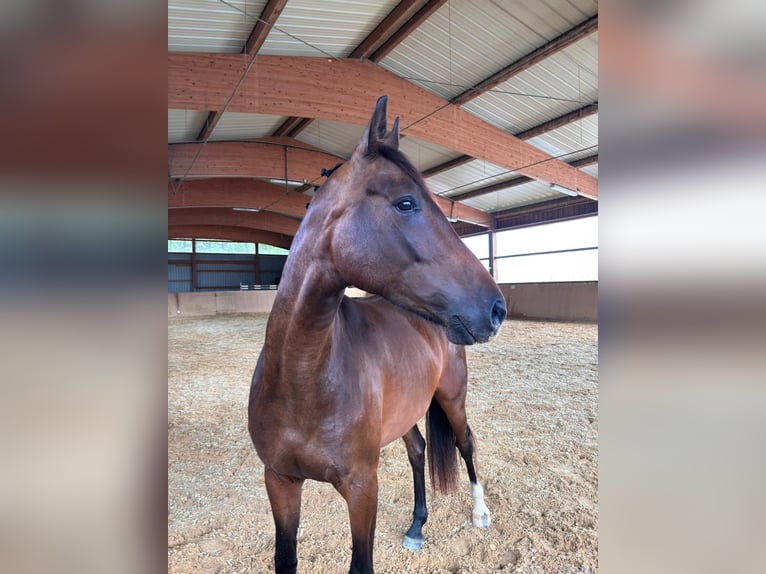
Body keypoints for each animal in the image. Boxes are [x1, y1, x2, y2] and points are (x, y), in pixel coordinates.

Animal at [248, 95, 507, 574]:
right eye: (406, 203)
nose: (497, 308)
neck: (302, 378)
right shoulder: (280, 481)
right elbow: (285, 559)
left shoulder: (362, 488)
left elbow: (361, 563)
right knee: (418, 449)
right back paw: (417, 525)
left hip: (452, 397)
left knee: (465, 442)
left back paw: (480, 513)